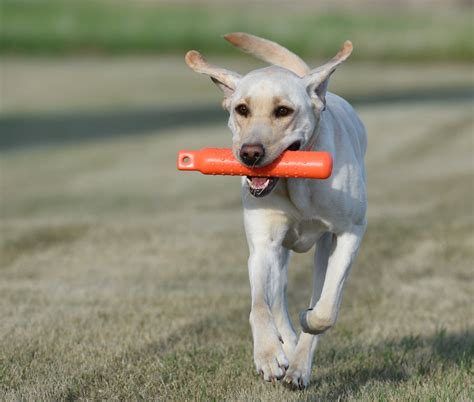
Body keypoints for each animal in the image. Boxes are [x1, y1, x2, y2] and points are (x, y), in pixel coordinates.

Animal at [185, 32, 366, 390]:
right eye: (241, 109)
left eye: (283, 111)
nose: (249, 153)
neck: (296, 184)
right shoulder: (263, 245)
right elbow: (259, 306)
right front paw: (269, 355)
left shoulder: (350, 232)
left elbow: (326, 309)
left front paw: (309, 323)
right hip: (279, 253)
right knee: (278, 297)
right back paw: (288, 347)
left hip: (324, 247)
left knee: (319, 290)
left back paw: (299, 365)